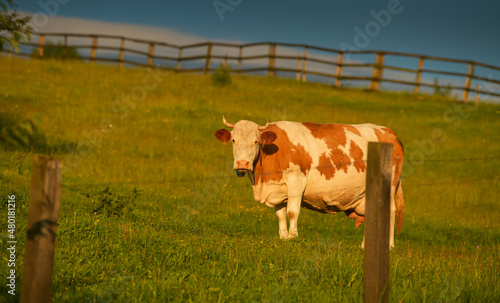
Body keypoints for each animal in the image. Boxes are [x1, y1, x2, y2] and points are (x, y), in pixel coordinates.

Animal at [213, 117, 404, 249]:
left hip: (388, 186)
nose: (242, 163)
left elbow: (292, 212)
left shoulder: (296, 181)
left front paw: (292, 237)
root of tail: (389, 132)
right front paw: (282, 237)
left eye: (256, 141)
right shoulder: (278, 189)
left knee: (390, 212)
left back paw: (389, 246)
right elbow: (280, 214)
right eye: (233, 140)